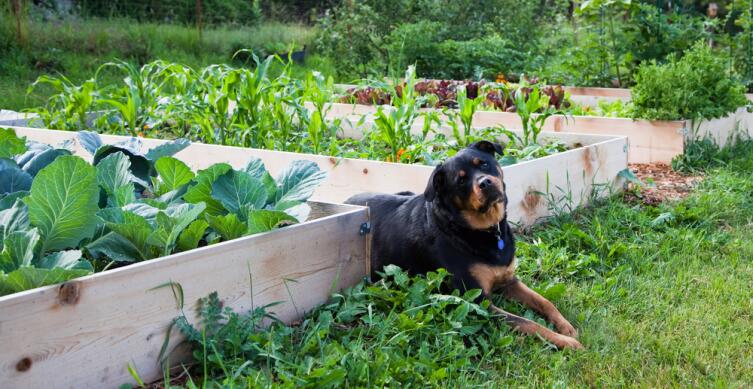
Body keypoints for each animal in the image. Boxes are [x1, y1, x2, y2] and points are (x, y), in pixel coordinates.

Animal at [346, 141, 580, 350]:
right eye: (460, 181)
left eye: (483, 164)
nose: (485, 183)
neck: (483, 230)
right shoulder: (479, 303)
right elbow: (529, 323)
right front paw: (566, 342)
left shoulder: (509, 281)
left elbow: (544, 301)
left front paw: (566, 327)